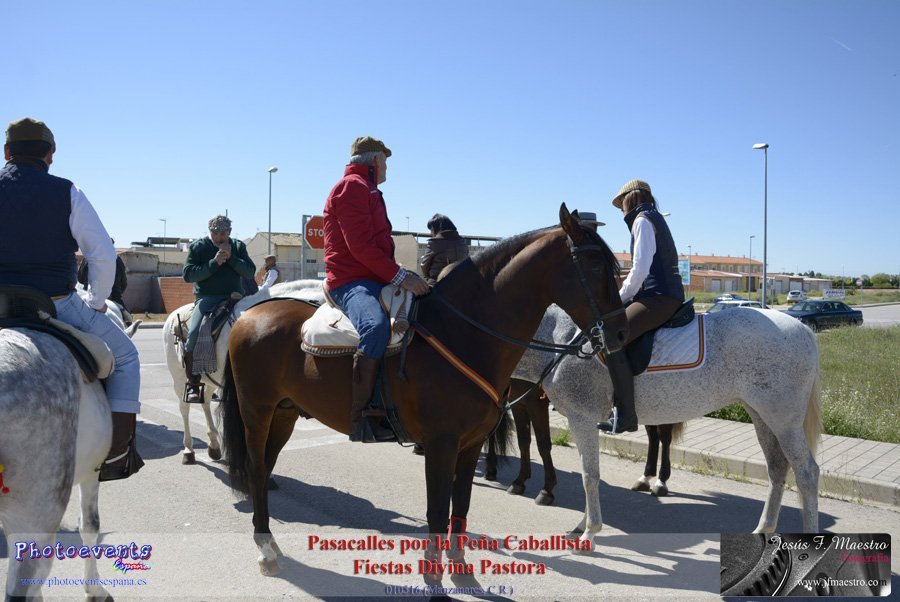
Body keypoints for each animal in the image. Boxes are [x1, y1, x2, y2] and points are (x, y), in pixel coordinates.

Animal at [162, 280, 324, 464]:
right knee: (184, 409)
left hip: (209, 380)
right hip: (179, 379)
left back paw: (214, 445)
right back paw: (188, 450)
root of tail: (172, 316)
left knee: (205, 403)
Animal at [219, 205, 629, 582]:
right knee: (257, 469)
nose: (621, 333)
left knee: (266, 467)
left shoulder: (470, 443)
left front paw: (460, 569)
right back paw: (265, 550)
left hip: (285, 412)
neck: (462, 332)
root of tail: (246, 316)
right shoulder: (440, 442)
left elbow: (460, 503)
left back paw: (271, 546)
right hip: (257, 411)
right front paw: (434, 575)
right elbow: (436, 510)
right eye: (594, 265)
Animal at [513, 303, 822, 536]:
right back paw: (764, 529)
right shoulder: (581, 421)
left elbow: (589, 476)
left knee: (807, 473)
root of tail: (804, 330)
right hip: (762, 416)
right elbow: (588, 471)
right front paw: (583, 524)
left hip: (784, 422)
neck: (560, 340)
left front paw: (590, 531)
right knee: (778, 468)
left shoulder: (582, 418)